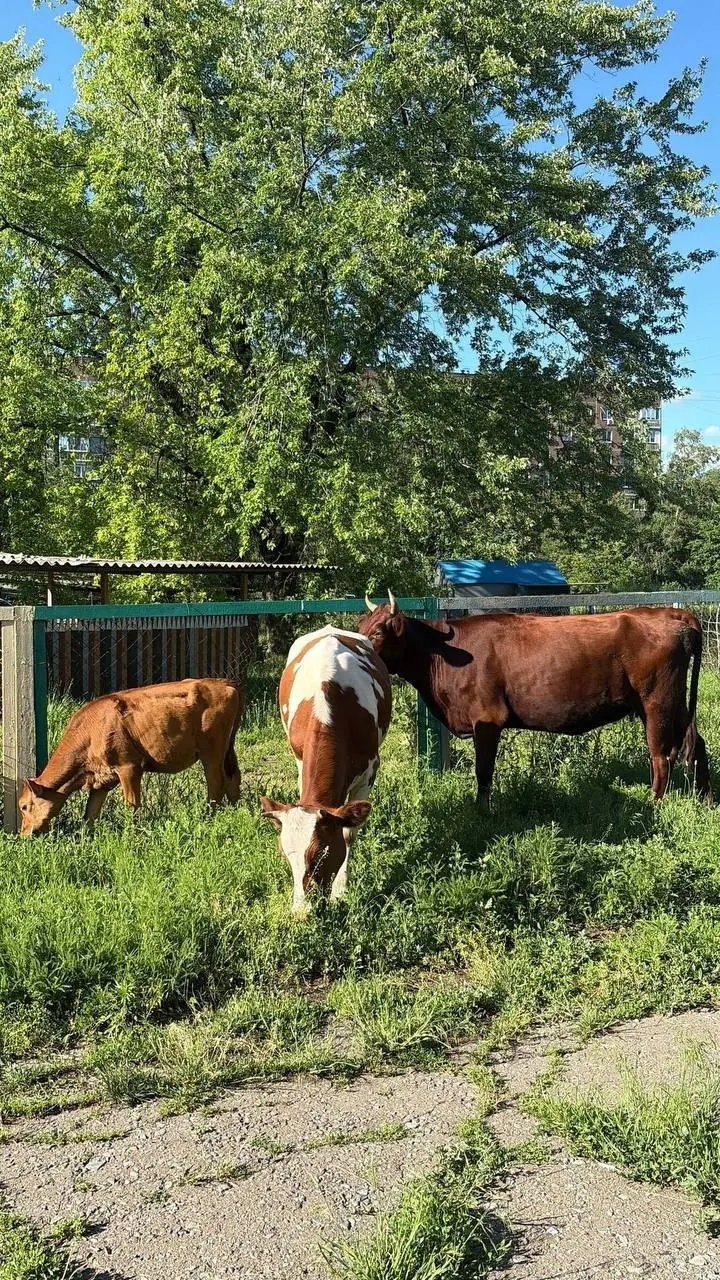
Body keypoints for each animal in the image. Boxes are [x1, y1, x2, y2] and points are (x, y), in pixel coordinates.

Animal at [18, 678, 243, 835]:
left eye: (24, 806)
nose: (24, 834)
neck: (90, 731)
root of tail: (225, 683)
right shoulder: (101, 780)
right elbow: (90, 813)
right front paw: (84, 839)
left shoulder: (129, 767)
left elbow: (131, 805)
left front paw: (132, 835)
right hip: (228, 750)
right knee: (233, 779)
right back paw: (235, 813)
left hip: (211, 752)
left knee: (216, 784)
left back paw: (209, 817)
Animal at [260, 625, 391, 914]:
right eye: (284, 855)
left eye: (323, 853)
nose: (301, 912)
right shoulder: (300, 762)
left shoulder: (369, 773)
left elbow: (349, 833)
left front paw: (341, 890)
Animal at [359, 592, 712, 806]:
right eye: (360, 625)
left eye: (378, 632)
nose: (356, 647)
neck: (446, 652)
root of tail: (671, 613)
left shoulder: (487, 719)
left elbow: (483, 771)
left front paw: (481, 812)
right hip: (672, 703)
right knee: (695, 744)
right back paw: (705, 800)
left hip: (657, 701)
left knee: (661, 755)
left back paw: (655, 804)